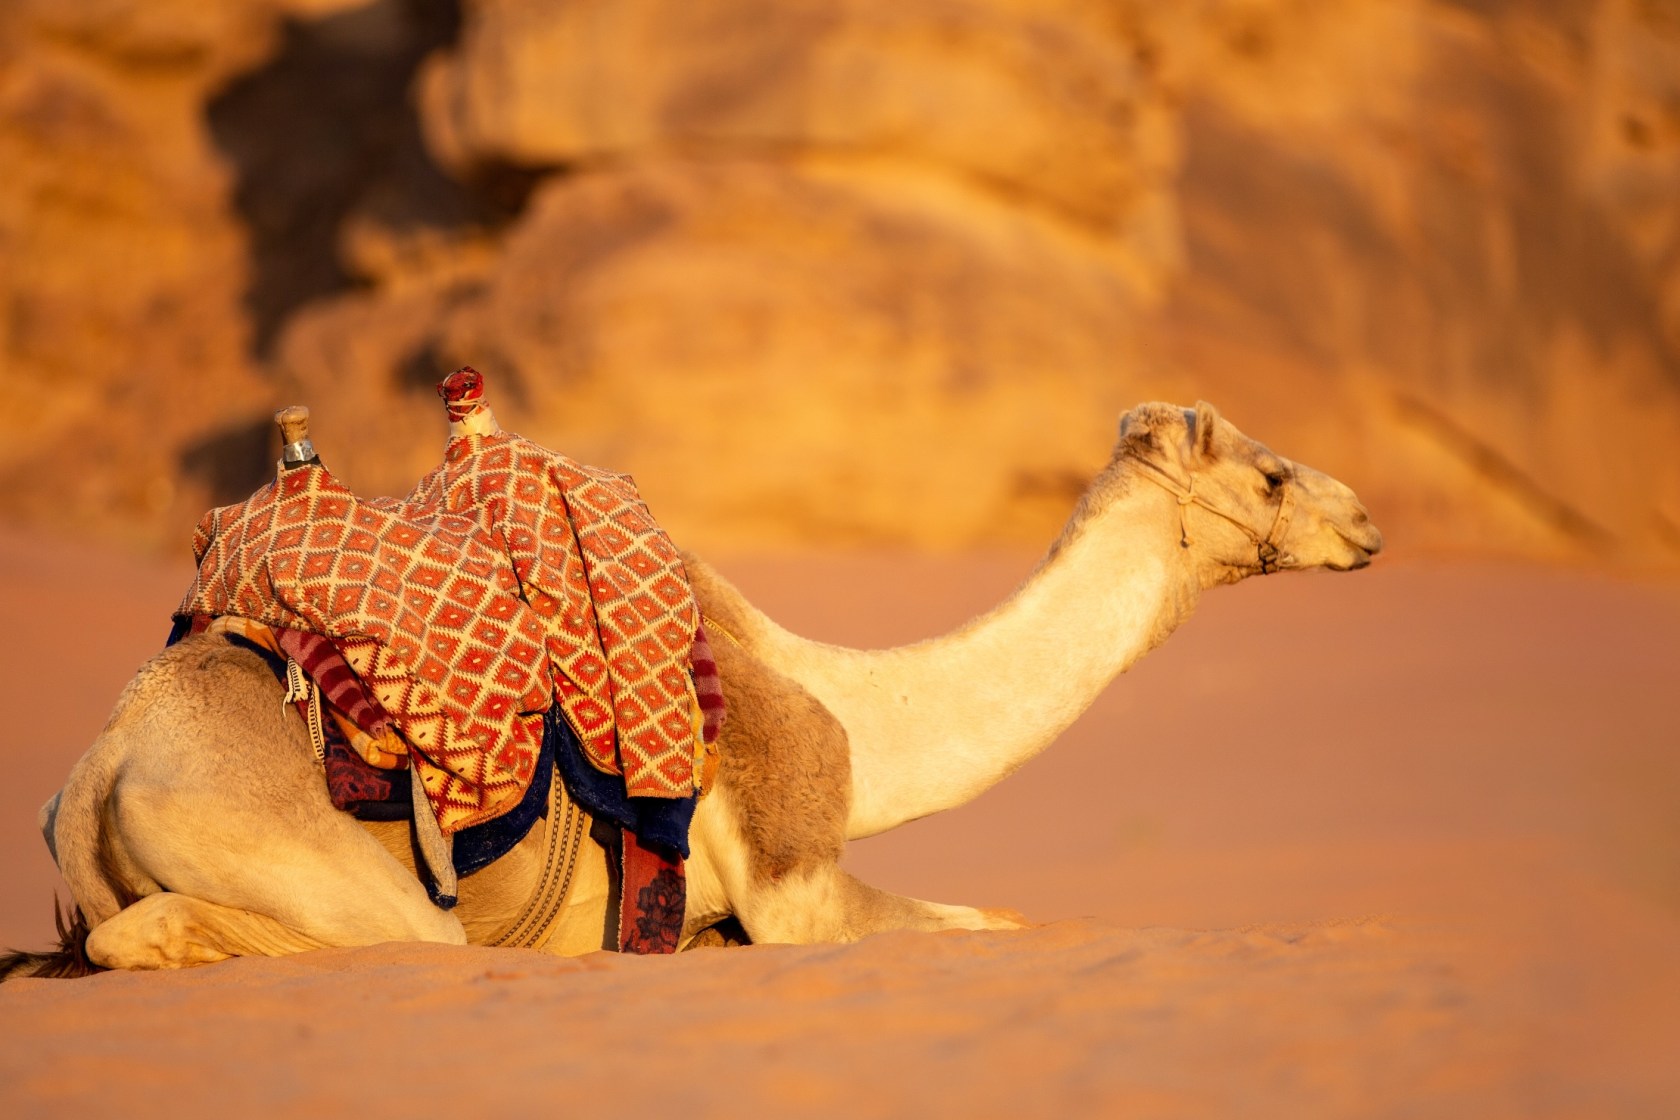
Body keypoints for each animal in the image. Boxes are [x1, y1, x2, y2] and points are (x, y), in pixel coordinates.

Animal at [4, 401, 1381, 976]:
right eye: (1267, 474)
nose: (1364, 518)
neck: (855, 714)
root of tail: (99, 772)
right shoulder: (793, 881)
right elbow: (998, 924)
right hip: (289, 849)